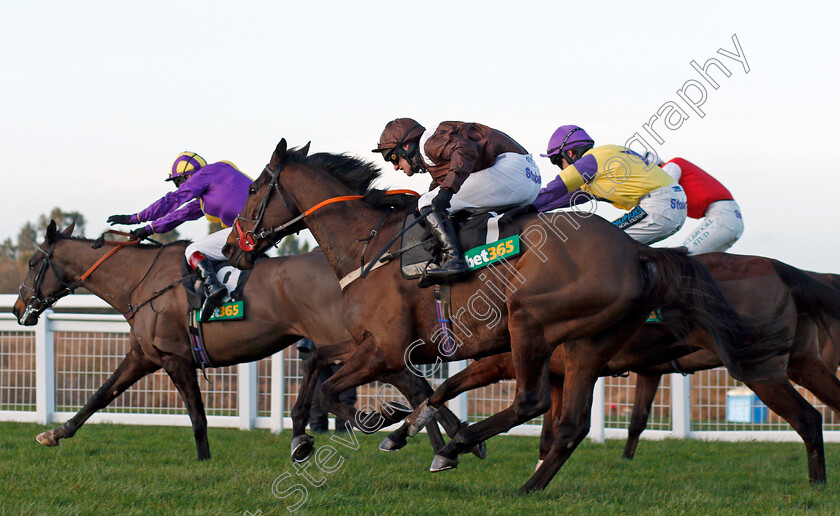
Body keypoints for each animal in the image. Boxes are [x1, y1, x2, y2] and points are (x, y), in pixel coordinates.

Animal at [13, 222, 470, 460]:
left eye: (34, 262)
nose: (19, 308)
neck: (140, 281)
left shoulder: (175, 359)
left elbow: (197, 416)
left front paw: (203, 461)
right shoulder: (144, 355)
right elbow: (99, 395)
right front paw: (55, 432)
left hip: (361, 342)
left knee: (411, 384)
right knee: (415, 386)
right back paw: (445, 439)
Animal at [221, 140, 788, 492]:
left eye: (251, 189)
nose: (230, 249)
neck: (371, 244)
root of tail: (636, 252)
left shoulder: (386, 348)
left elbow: (342, 391)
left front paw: (382, 422)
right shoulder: (372, 343)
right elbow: (321, 364)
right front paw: (302, 437)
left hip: (529, 322)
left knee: (533, 401)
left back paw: (461, 444)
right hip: (585, 346)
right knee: (569, 423)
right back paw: (515, 478)